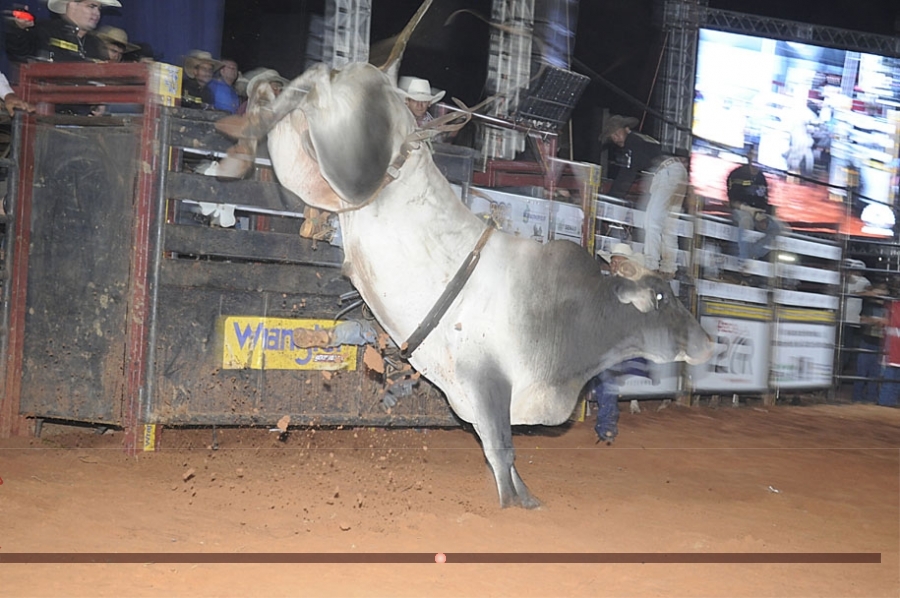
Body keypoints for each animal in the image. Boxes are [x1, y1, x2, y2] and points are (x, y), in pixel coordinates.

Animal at [214, 0, 712, 508]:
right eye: (661, 298)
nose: (707, 343)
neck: (565, 316)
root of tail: (385, 78)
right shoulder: (487, 379)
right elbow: (502, 449)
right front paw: (513, 506)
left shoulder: (474, 395)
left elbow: (498, 449)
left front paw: (527, 499)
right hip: (350, 169)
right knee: (316, 77)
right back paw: (244, 123)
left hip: (311, 168)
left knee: (295, 94)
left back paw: (243, 132)